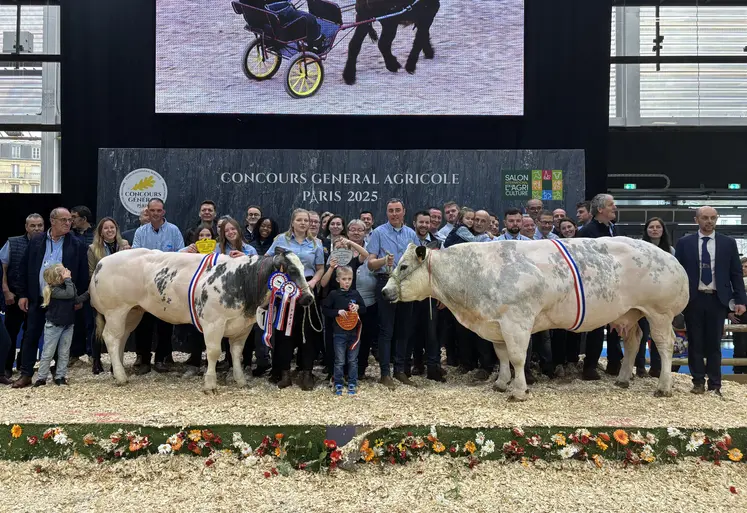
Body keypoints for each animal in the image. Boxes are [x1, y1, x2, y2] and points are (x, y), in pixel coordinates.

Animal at [90, 248, 312, 392]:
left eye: (304, 270)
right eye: (292, 271)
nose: (309, 298)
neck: (240, 279)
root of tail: (102, 262)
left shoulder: (243, 326)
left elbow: (237, 353)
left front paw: (240, 380)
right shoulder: (213, 322)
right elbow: (213, 352)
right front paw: (210, 384)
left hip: (133, 311)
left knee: (121, 337)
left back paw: (117, 372)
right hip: (115, 310)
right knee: (111, 337)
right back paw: (121, 377)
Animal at [386, 236, 688, 400]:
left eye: (403, 266)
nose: (385, 291)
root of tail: (670, 258)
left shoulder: (516, 320)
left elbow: (518, 357)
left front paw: (518, 391)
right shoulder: (496, 325)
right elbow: (502, 356)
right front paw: (501, 383)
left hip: (660, 312)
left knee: (664, 345)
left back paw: (663, 387)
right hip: (630, 313)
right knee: (635, 340)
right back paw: (623, 379)